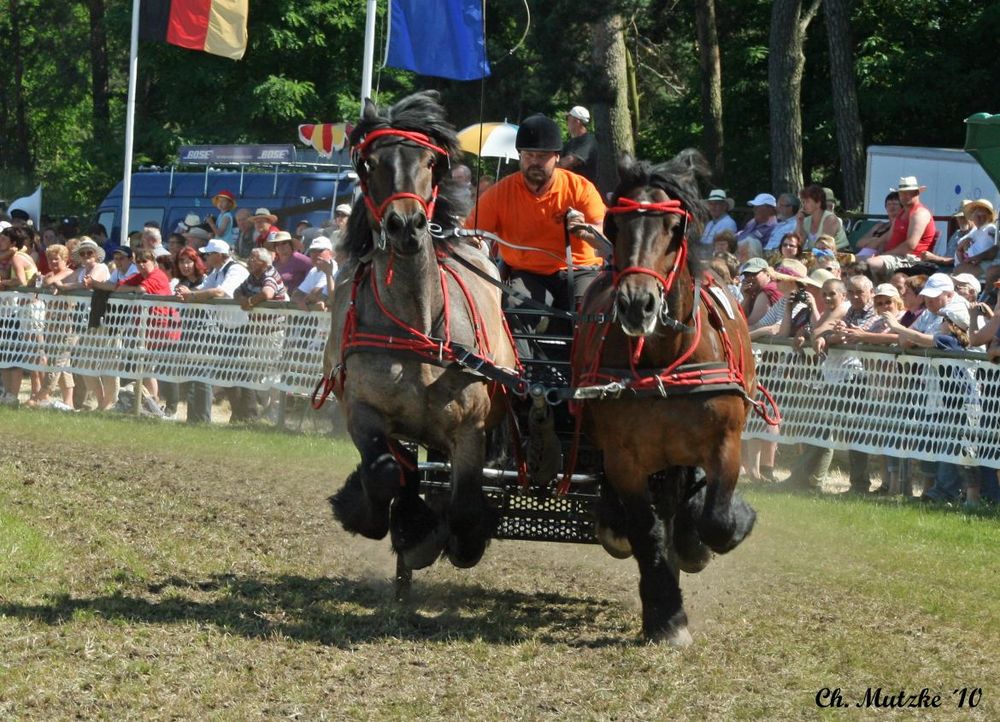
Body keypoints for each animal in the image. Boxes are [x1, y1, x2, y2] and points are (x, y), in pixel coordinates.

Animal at [326, 90, 520, 572]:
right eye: (369, 164)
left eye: (430, 162)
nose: (406, 225)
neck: (418, 328)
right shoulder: (362, 410)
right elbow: (384, 472)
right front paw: (385, 521)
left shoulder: (469, 430)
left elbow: (466, 503)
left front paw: (460, 541)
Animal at [572, 150, 756, 640]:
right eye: (617, 225)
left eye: (673, 228)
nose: (637, 304)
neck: (664, 359)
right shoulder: (625, 460)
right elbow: (646, 531)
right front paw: (666, 615)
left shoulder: (725, 443)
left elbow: (716, 521)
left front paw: (718, 533)